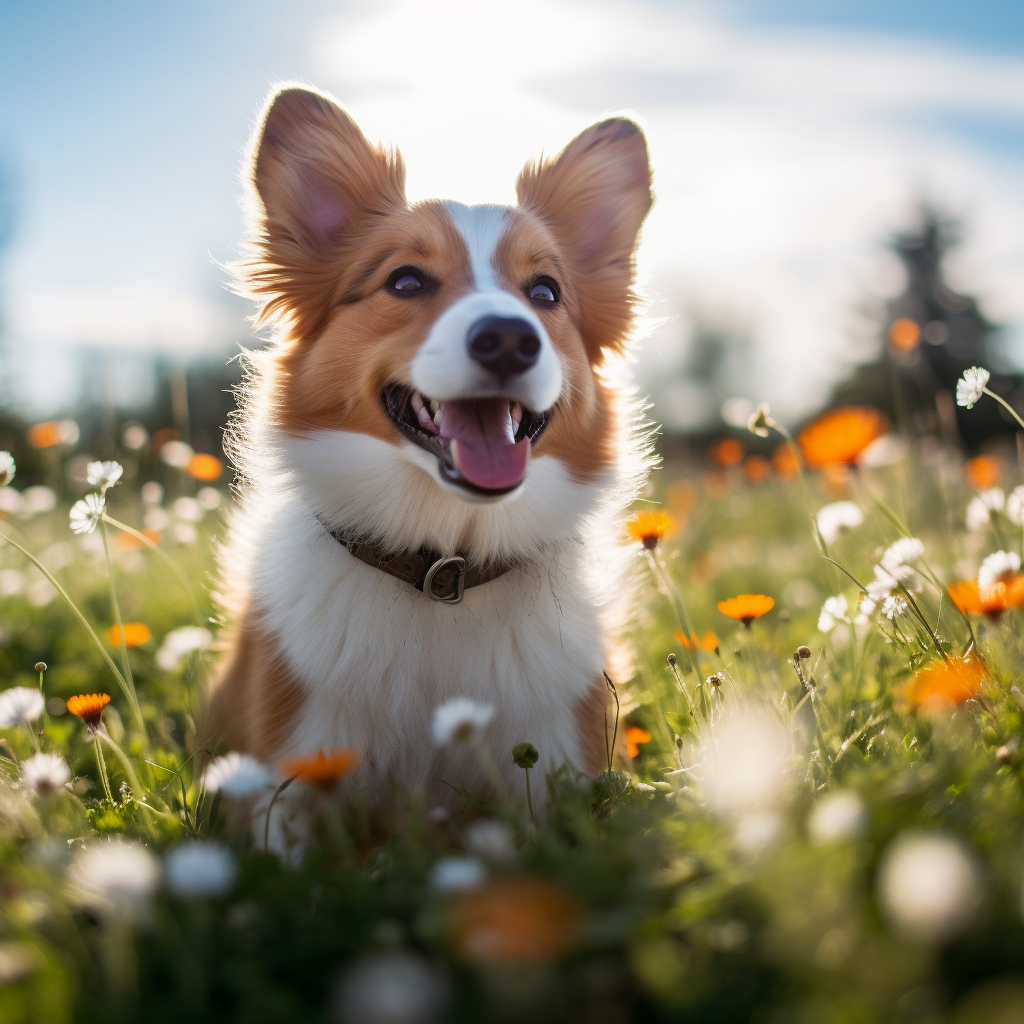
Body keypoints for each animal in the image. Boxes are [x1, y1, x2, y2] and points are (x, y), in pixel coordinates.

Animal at [205, 81, 655, 823]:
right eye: (407, 281)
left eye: (545, 293)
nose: (510, 339)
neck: (445, 568)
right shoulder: (291, 776)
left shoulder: (556, 763)